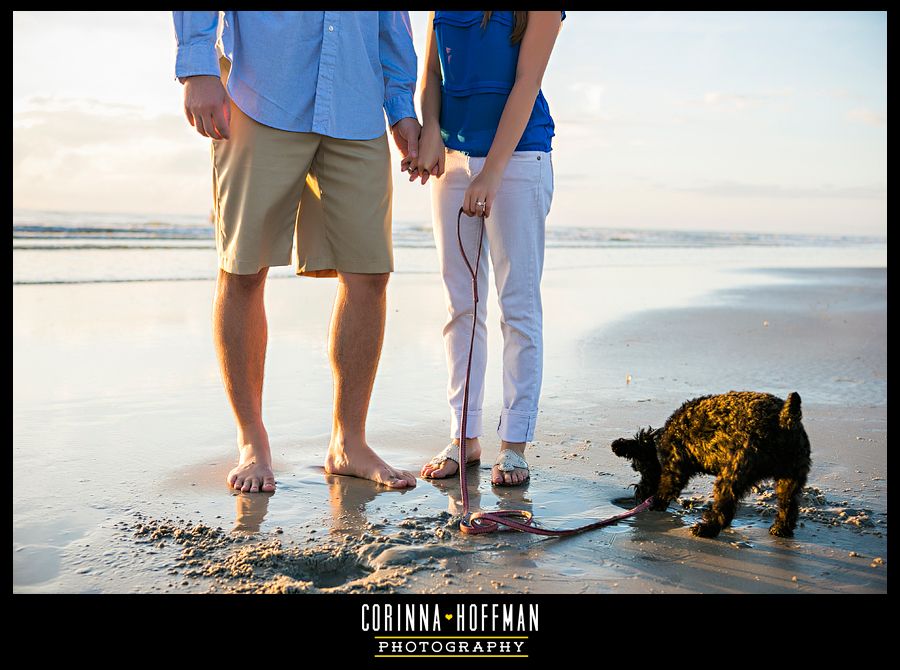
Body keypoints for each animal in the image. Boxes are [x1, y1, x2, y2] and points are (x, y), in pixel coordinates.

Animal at [612, 392, 808, 540]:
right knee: (788, 505)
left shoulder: (674, 470)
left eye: (640, 469)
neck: (659, 444)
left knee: (724, 509)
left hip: (732, 475)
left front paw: (656, 504)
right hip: (790, 478)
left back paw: (705, 529)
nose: (639, 493)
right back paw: (781, 529)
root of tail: (784, 420)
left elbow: (665, 489)